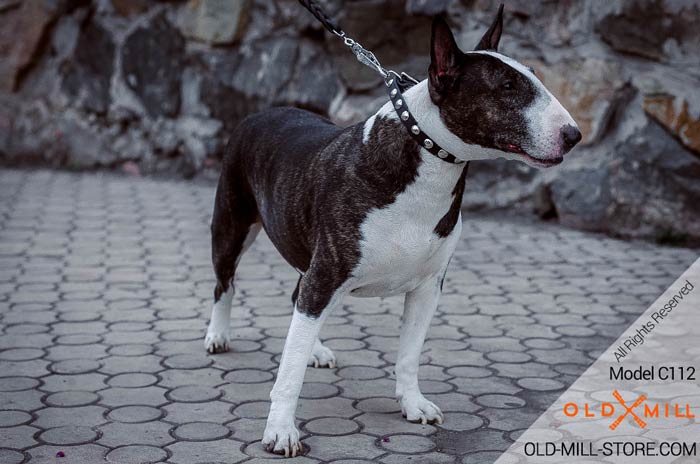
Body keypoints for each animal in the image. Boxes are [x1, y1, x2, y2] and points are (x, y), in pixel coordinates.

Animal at [202, 6, 580, 456]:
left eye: (533, 74)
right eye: (506, 86)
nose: (574, 135)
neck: (428, 159)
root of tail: (263, 111)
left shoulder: (427, 286)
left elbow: (409, 355)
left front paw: (413, 404)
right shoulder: (327, 273)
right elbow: (288, 371)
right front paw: (280, 430)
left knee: (297, 297)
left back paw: (316, 348)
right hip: (233, 224)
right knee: (226, 283)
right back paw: (218, 335)